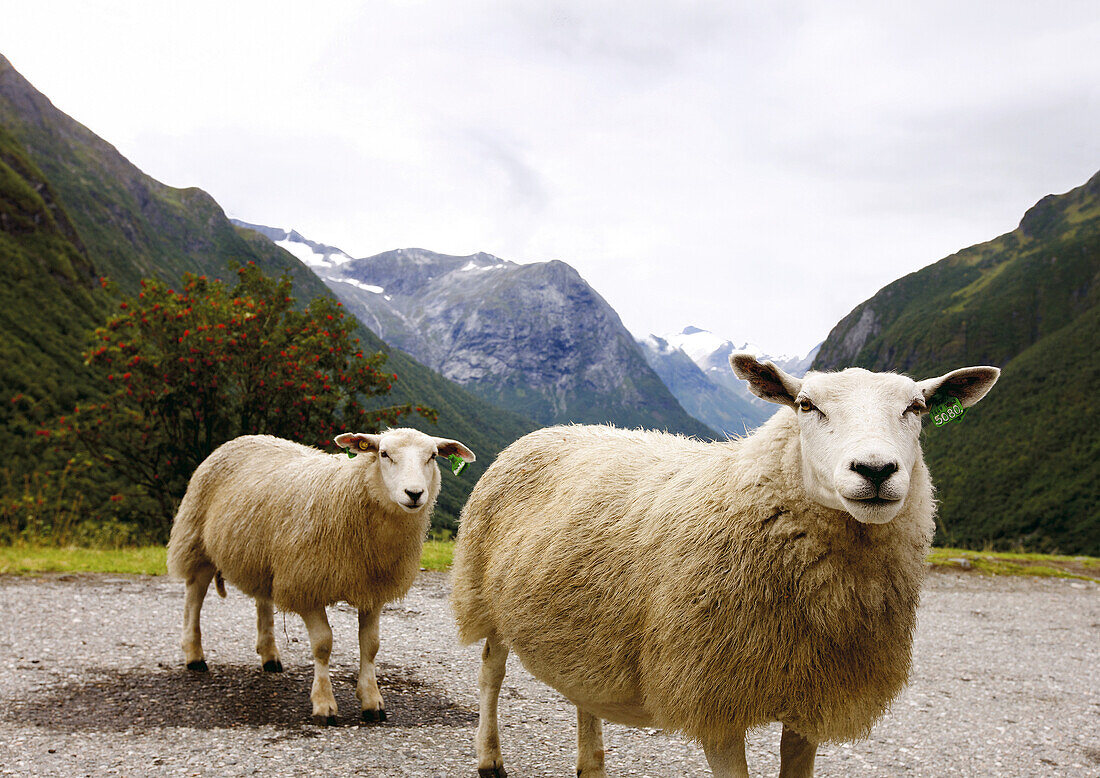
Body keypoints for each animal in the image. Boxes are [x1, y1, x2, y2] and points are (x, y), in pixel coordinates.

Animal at [166, 426, 473, 726]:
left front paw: (372, 700)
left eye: (432, 456)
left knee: (263, 600)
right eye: (384, 454)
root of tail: (245, 437)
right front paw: (324, 704)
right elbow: (323, 644)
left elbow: (371, 645)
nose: (414, 493)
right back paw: (194, 656)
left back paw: (270, 657)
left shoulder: (372, 588)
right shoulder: (306, 584)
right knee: (194, 597)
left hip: (264, 558)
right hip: (197, 540)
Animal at [451, 354, 1003, 778]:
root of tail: (548, 431)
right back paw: (489, 759)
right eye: (807, 405)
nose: (875, 470)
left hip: (586, 628)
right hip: (482, 589)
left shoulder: (812, 697)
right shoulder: (713, 695)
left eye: (918, 407)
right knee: (490, 671)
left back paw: (591, 767)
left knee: (583, 693)